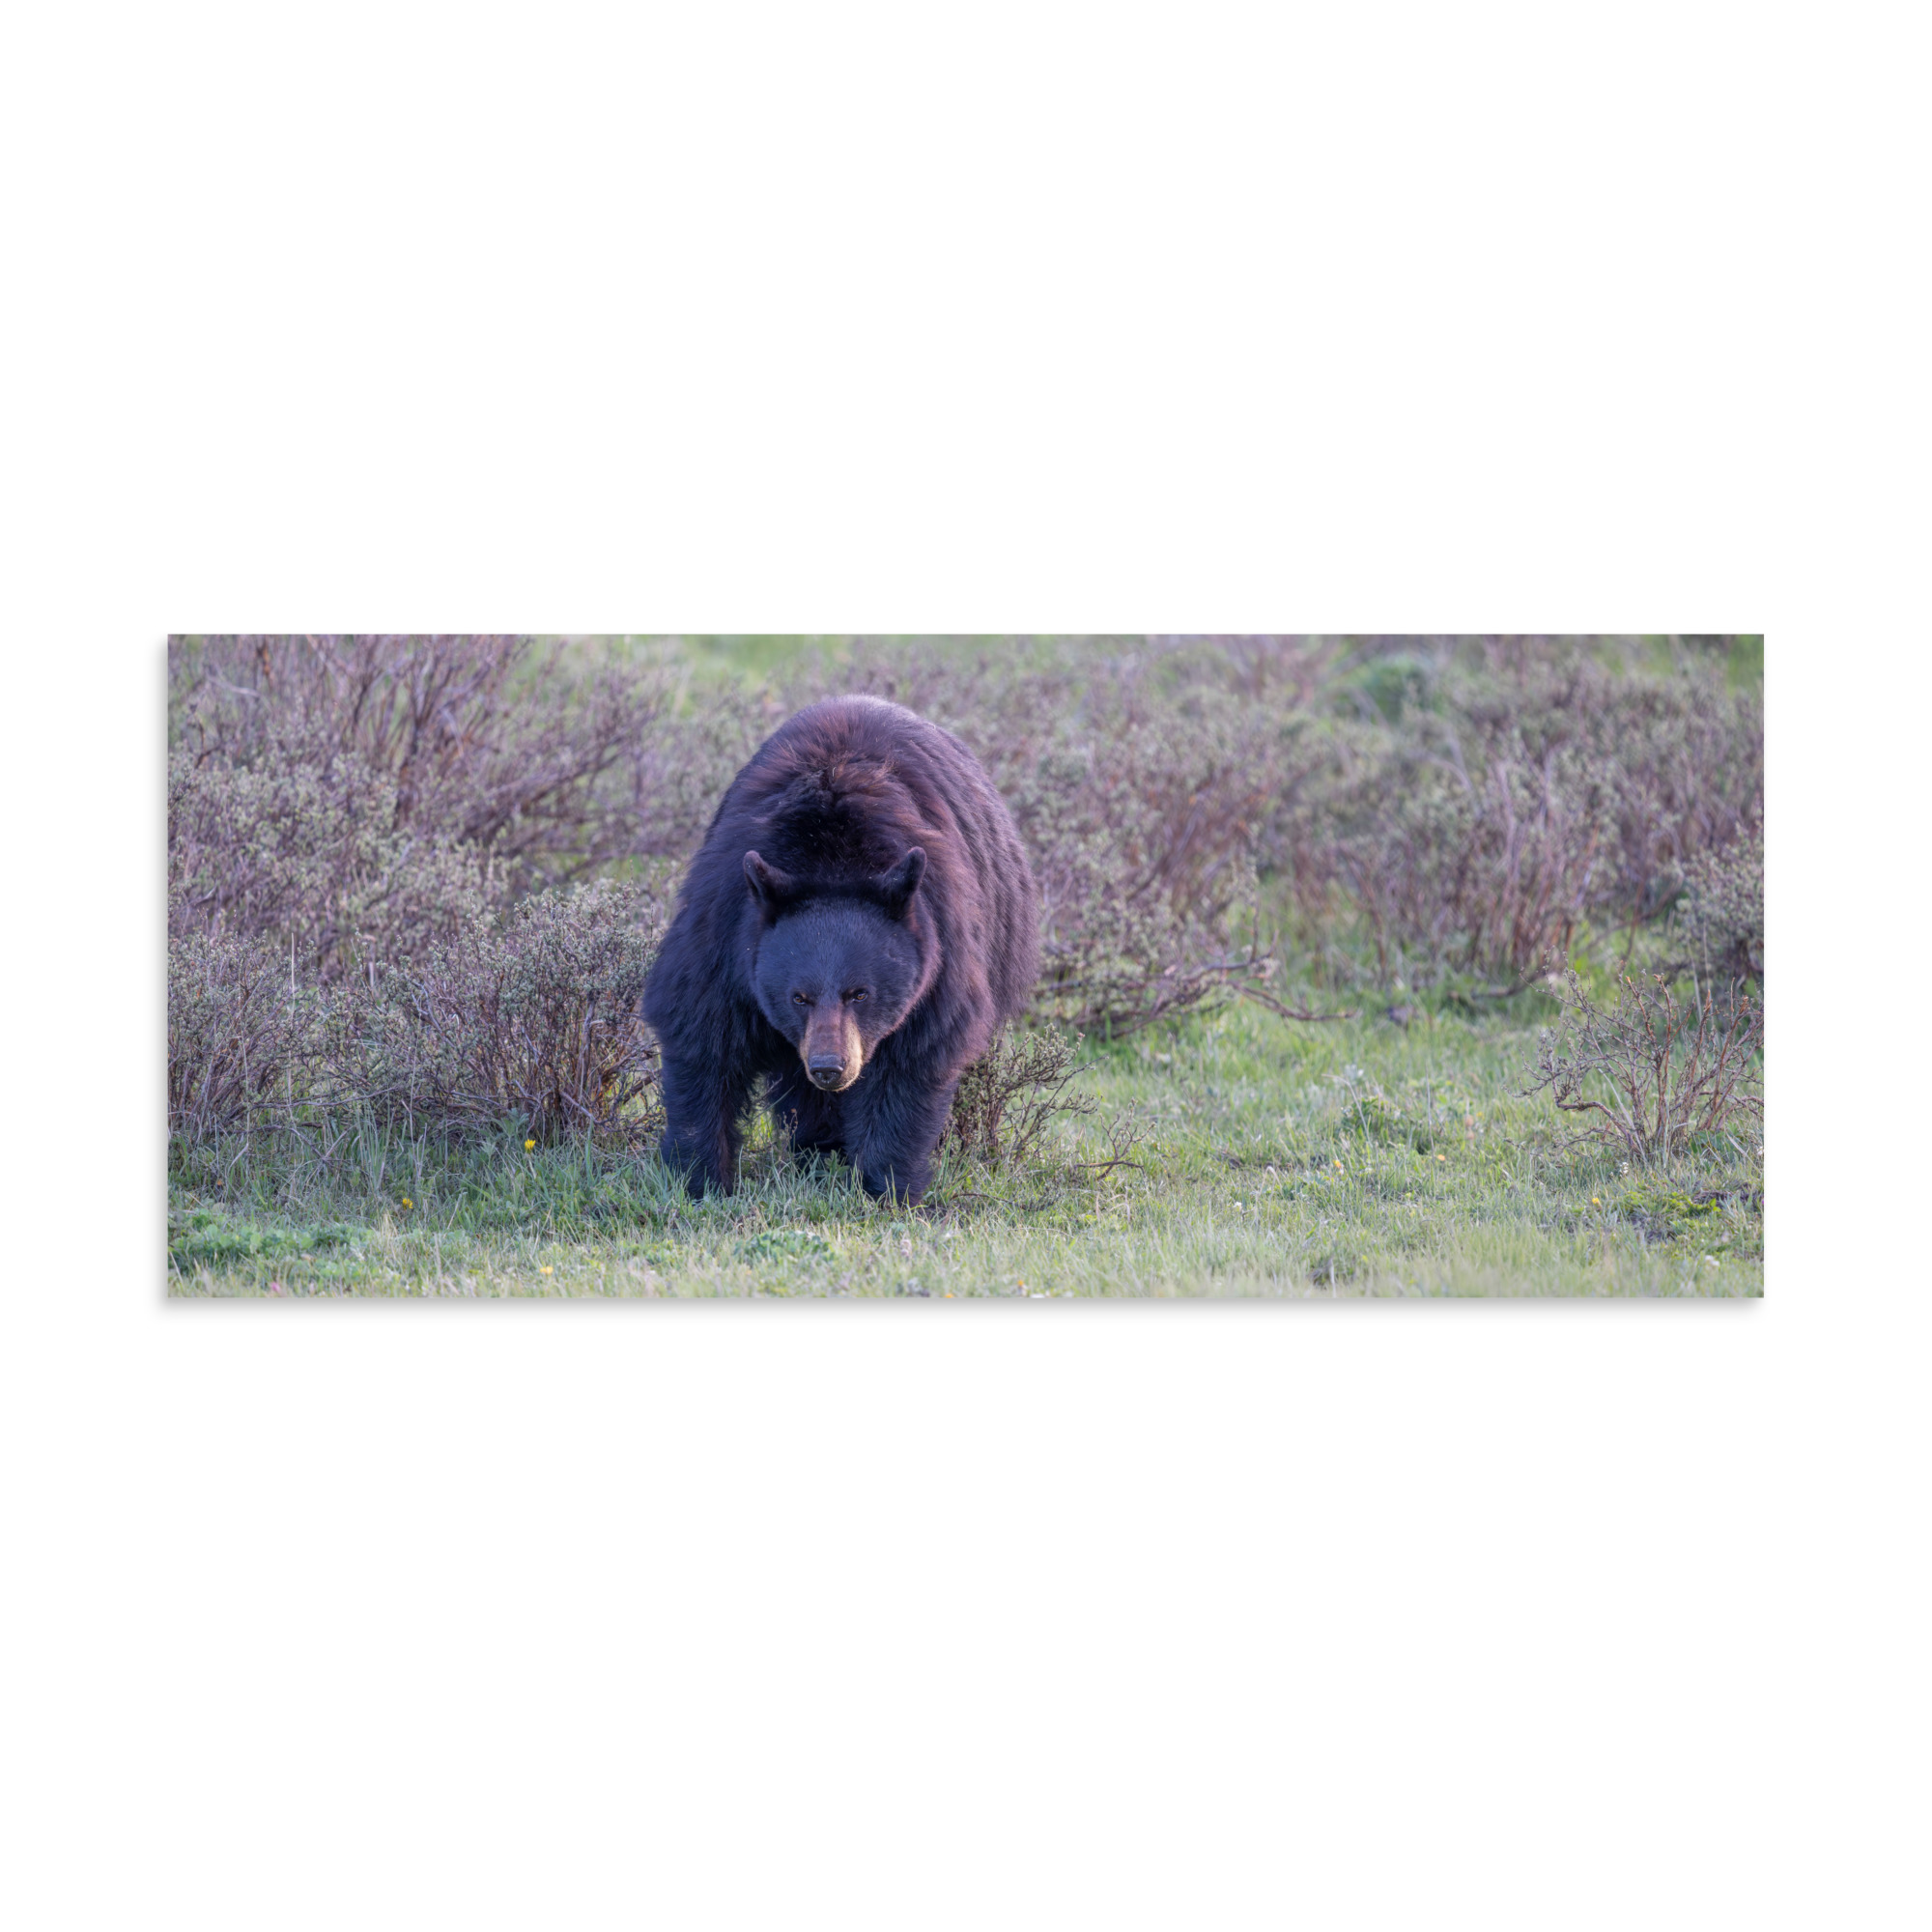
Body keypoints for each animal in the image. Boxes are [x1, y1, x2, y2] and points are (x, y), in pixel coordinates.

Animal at [642, 694, 1039, 1204]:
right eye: (798, 997)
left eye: (860, 993)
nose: (830, 1068)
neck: (830, 857)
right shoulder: (725, 928)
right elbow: (702, 1035)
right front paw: (700, 1178)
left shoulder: (940, 947)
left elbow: (912, 1061)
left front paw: (888, 1187)